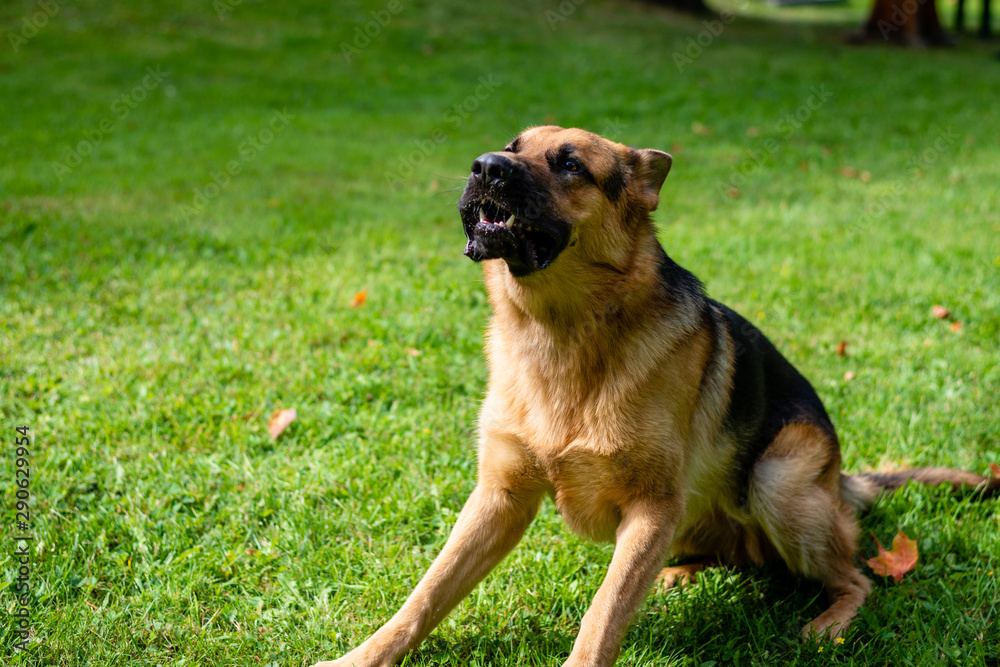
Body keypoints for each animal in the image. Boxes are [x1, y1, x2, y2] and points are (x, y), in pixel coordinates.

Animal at [314, 126, 1000, 667]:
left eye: (570, 164)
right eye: (511, 147)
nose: (485, 167)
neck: (561, 331)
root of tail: (839, 483)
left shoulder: (649, 506)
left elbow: (601, 615)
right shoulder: (500, 498)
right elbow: (426, 593)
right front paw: (362, 657)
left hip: (777, 482)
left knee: (854, 577)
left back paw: (828, 624)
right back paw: (679, 573)